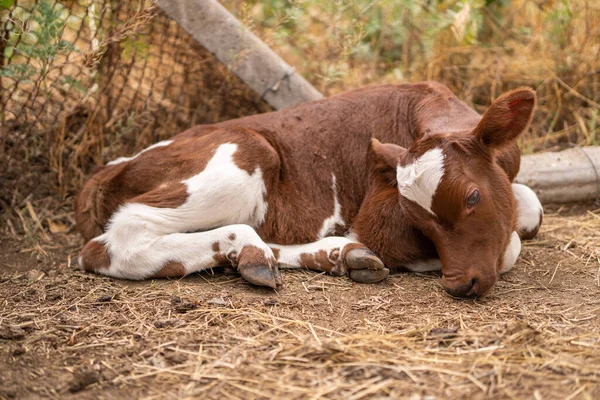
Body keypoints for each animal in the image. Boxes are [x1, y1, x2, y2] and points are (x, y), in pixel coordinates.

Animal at [75, 83, 544, 298]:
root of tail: (114, 165)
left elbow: (531, 209)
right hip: (244, 157)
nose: (459, 283)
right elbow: (511, 244)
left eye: (472, 197)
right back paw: (252, 248)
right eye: (418, 221)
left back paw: (333, 255)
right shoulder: (376, 215)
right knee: (115, 241)